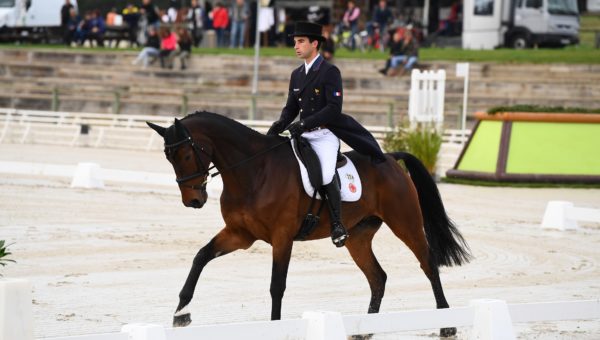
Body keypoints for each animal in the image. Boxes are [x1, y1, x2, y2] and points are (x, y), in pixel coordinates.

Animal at [148, 112, 472, 338]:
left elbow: (276, 286)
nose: (193, 200)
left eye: (186, 154)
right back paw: (365, 329)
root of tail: (390, 158)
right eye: (168, 156)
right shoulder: (240, 235)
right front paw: (181, 313)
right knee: (378, 277)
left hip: (405, 223)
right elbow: (201, 256)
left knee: (428, 264)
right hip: (358, 237)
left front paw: (275, 328)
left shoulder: (282, 237)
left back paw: (447, 326)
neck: (254, 172)